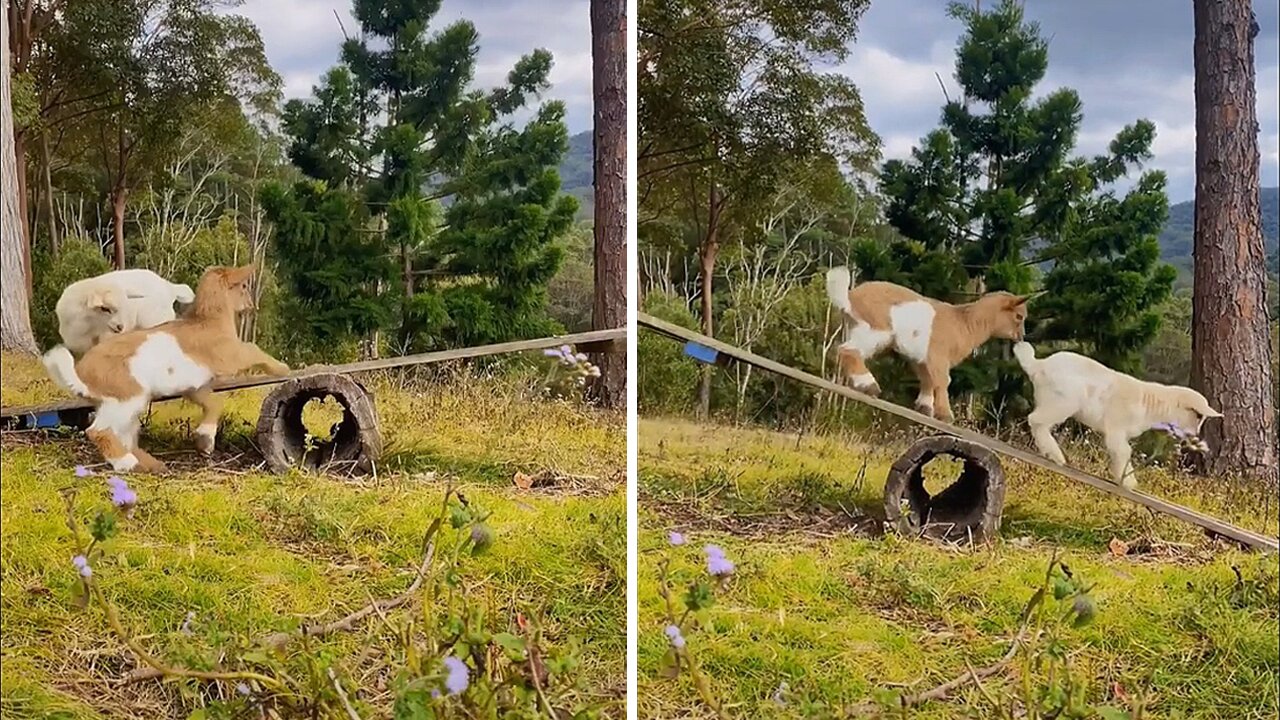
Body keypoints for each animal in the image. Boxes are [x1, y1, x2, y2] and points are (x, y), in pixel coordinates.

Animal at [829, 265, 1029, 420]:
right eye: (1019, 316)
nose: (1022, 336)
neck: (964, 323)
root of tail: (849, 297)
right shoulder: (938, 356)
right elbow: (943, 381)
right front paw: (946, 415)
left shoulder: (922, 359)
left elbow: (928, 379)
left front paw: (925, 407)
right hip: (875, 330)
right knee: (848, 350)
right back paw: (869, 385)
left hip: (857, 328)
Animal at [1013, 340, 1223, 486]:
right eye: (1198, 415)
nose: (1195, 435)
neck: (1150, 403)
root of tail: (1038, 365)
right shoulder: (1116, 428)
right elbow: (1123, 451)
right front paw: (1128, 482)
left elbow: (1119, 451)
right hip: (1063, 401)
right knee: (1036, 420)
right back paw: (1055, 454)